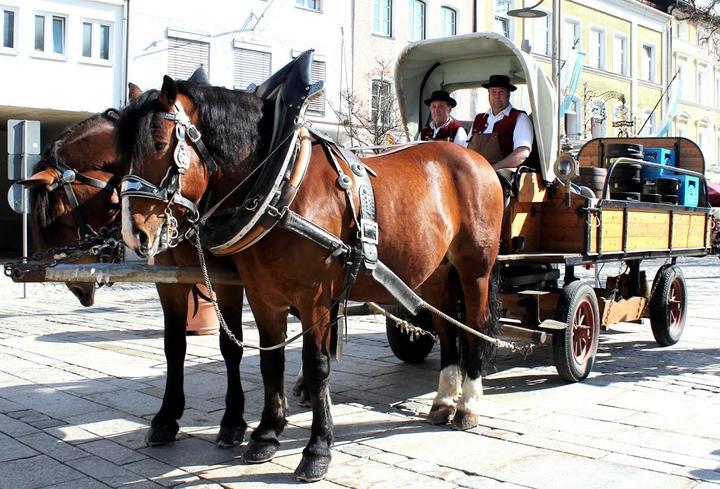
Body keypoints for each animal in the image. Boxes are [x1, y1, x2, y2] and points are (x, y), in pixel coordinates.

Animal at [20, 104, 250, 450]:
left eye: (56, 216)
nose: (76, 287)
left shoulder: (226, 281)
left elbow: (230, 345)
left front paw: (233, 420)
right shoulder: (171, 281)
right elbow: (173, 346)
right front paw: (166, 418)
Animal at [116, 74, 500, 478]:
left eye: (161, 144)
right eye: (123, 152)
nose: (133, 233)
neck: (280, 182)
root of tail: (475, 159)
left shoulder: (313, 296)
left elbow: (317, 366)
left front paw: (317, 450)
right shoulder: (261, 294)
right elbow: (270, 361)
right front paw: (265, 435)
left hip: (475, 267)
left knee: (475, 325)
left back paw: (468, 405)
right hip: (437, 272)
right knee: (447, 327)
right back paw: (443, 400)